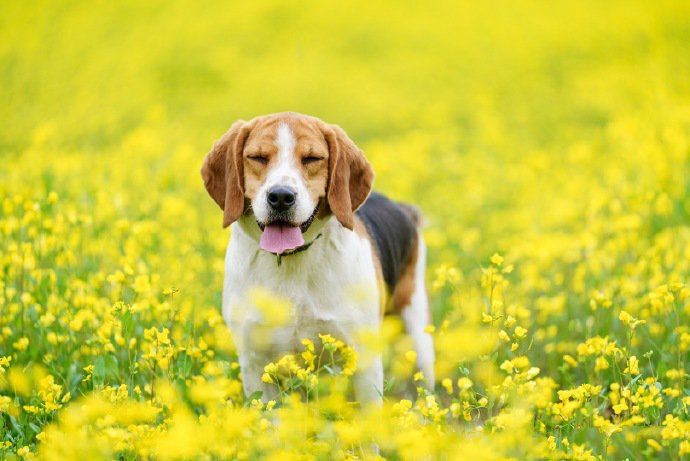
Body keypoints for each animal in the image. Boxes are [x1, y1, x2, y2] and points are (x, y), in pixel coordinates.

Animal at [202, 111, 432, 402]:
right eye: (258, 157)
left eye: (312, 158)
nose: (281, 196)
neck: (289, 261)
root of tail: (402, 207)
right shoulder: (255, 364)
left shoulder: (364, 359)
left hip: (419, 337)